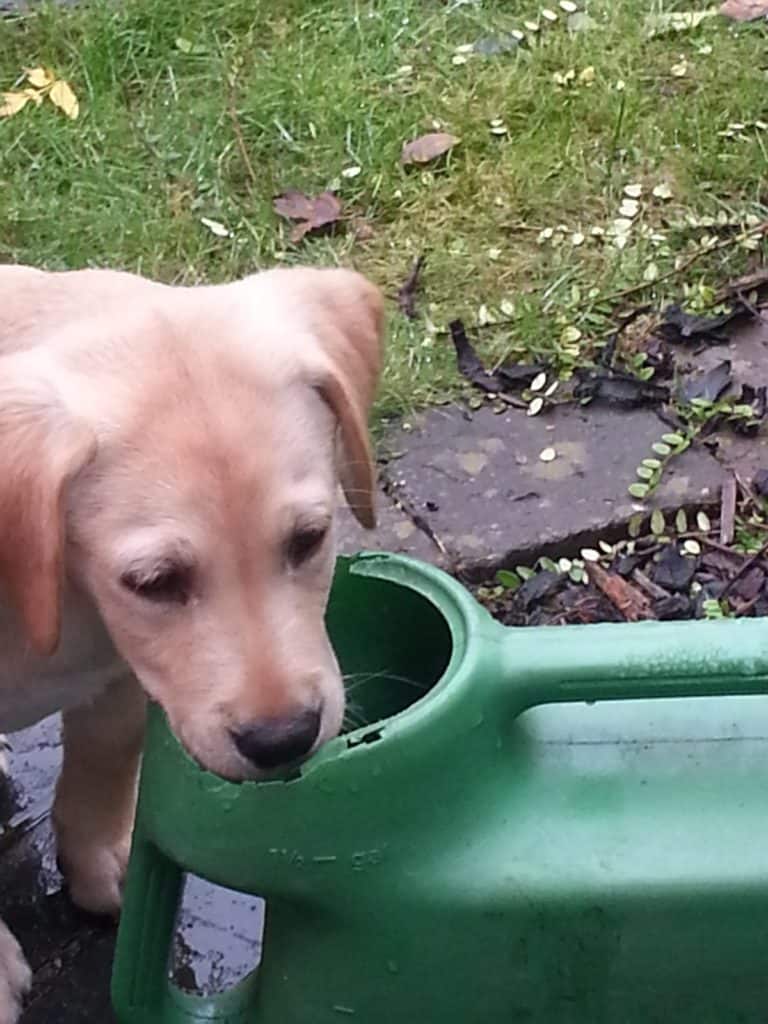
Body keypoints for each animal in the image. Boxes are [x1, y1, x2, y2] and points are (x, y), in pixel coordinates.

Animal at [0, 266, 385, 1024]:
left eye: (309, 539)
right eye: (156, 582)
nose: (283, 739)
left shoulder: (121, 667)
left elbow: (108, 752)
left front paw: (109, 859)